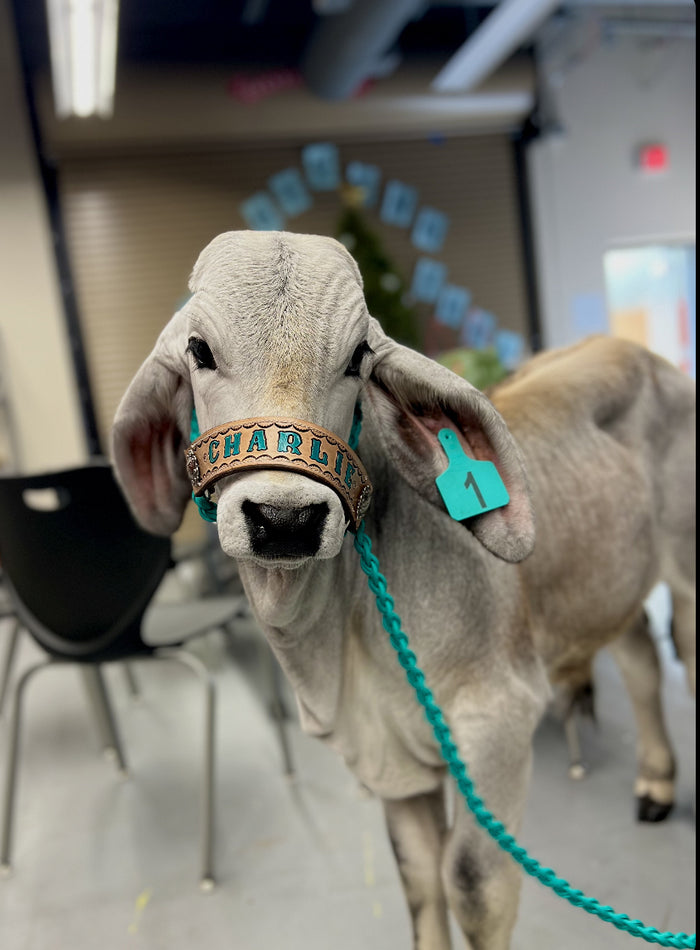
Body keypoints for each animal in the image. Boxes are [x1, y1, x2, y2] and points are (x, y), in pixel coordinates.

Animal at [112, 230, 695, 950]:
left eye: (357, 357)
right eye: (199, 350)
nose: (284, 519)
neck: (339, 638)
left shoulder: (497, 722)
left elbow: (471, 883)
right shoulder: (391, 760)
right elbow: (419, 878)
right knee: (640, 656)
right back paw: (656, 785)